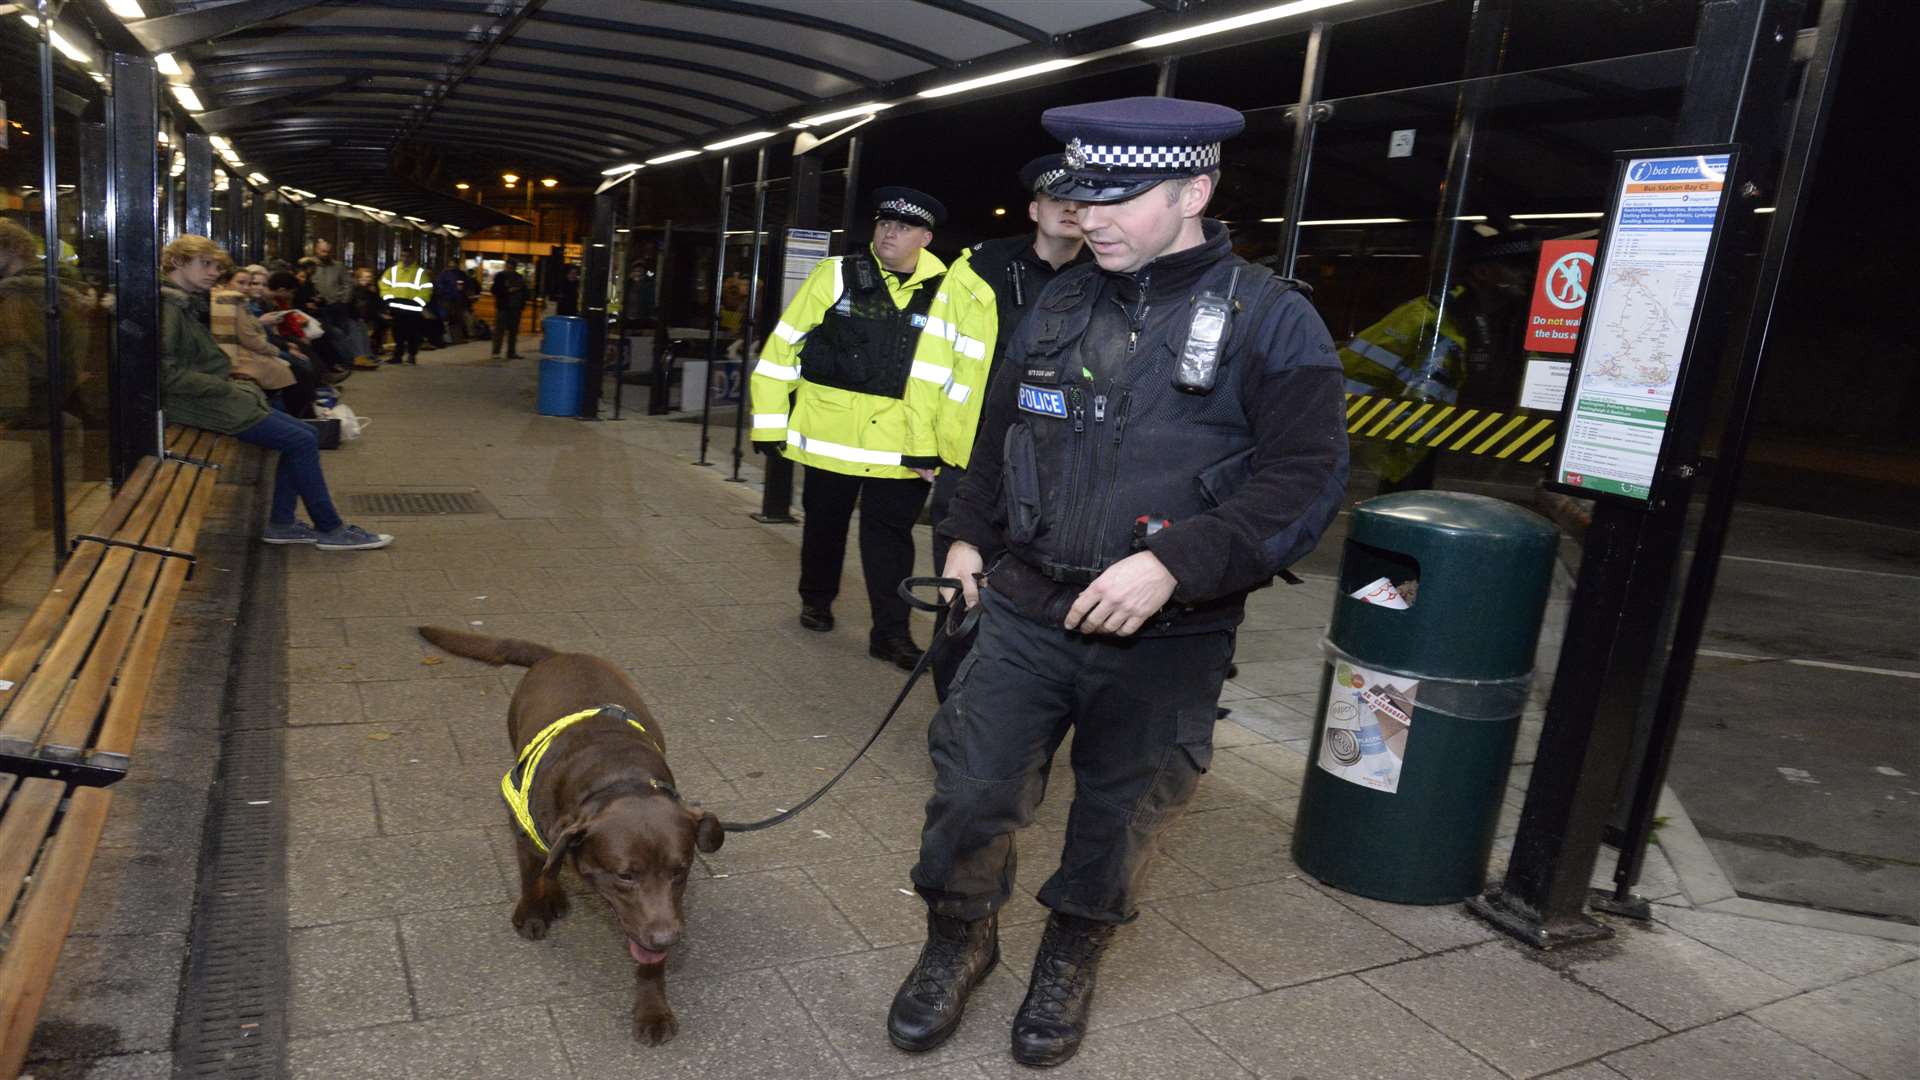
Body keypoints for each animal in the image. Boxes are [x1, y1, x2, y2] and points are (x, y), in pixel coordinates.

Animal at [416, 626, 721, 1037]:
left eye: (680, 871)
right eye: (625, 876)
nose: (666, 940)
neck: (618, 777)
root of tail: (559, 654)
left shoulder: (663, 911)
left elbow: (648, 960)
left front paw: (653, 1009)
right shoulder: (525, 831)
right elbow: (533, 877)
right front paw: (533, 912)